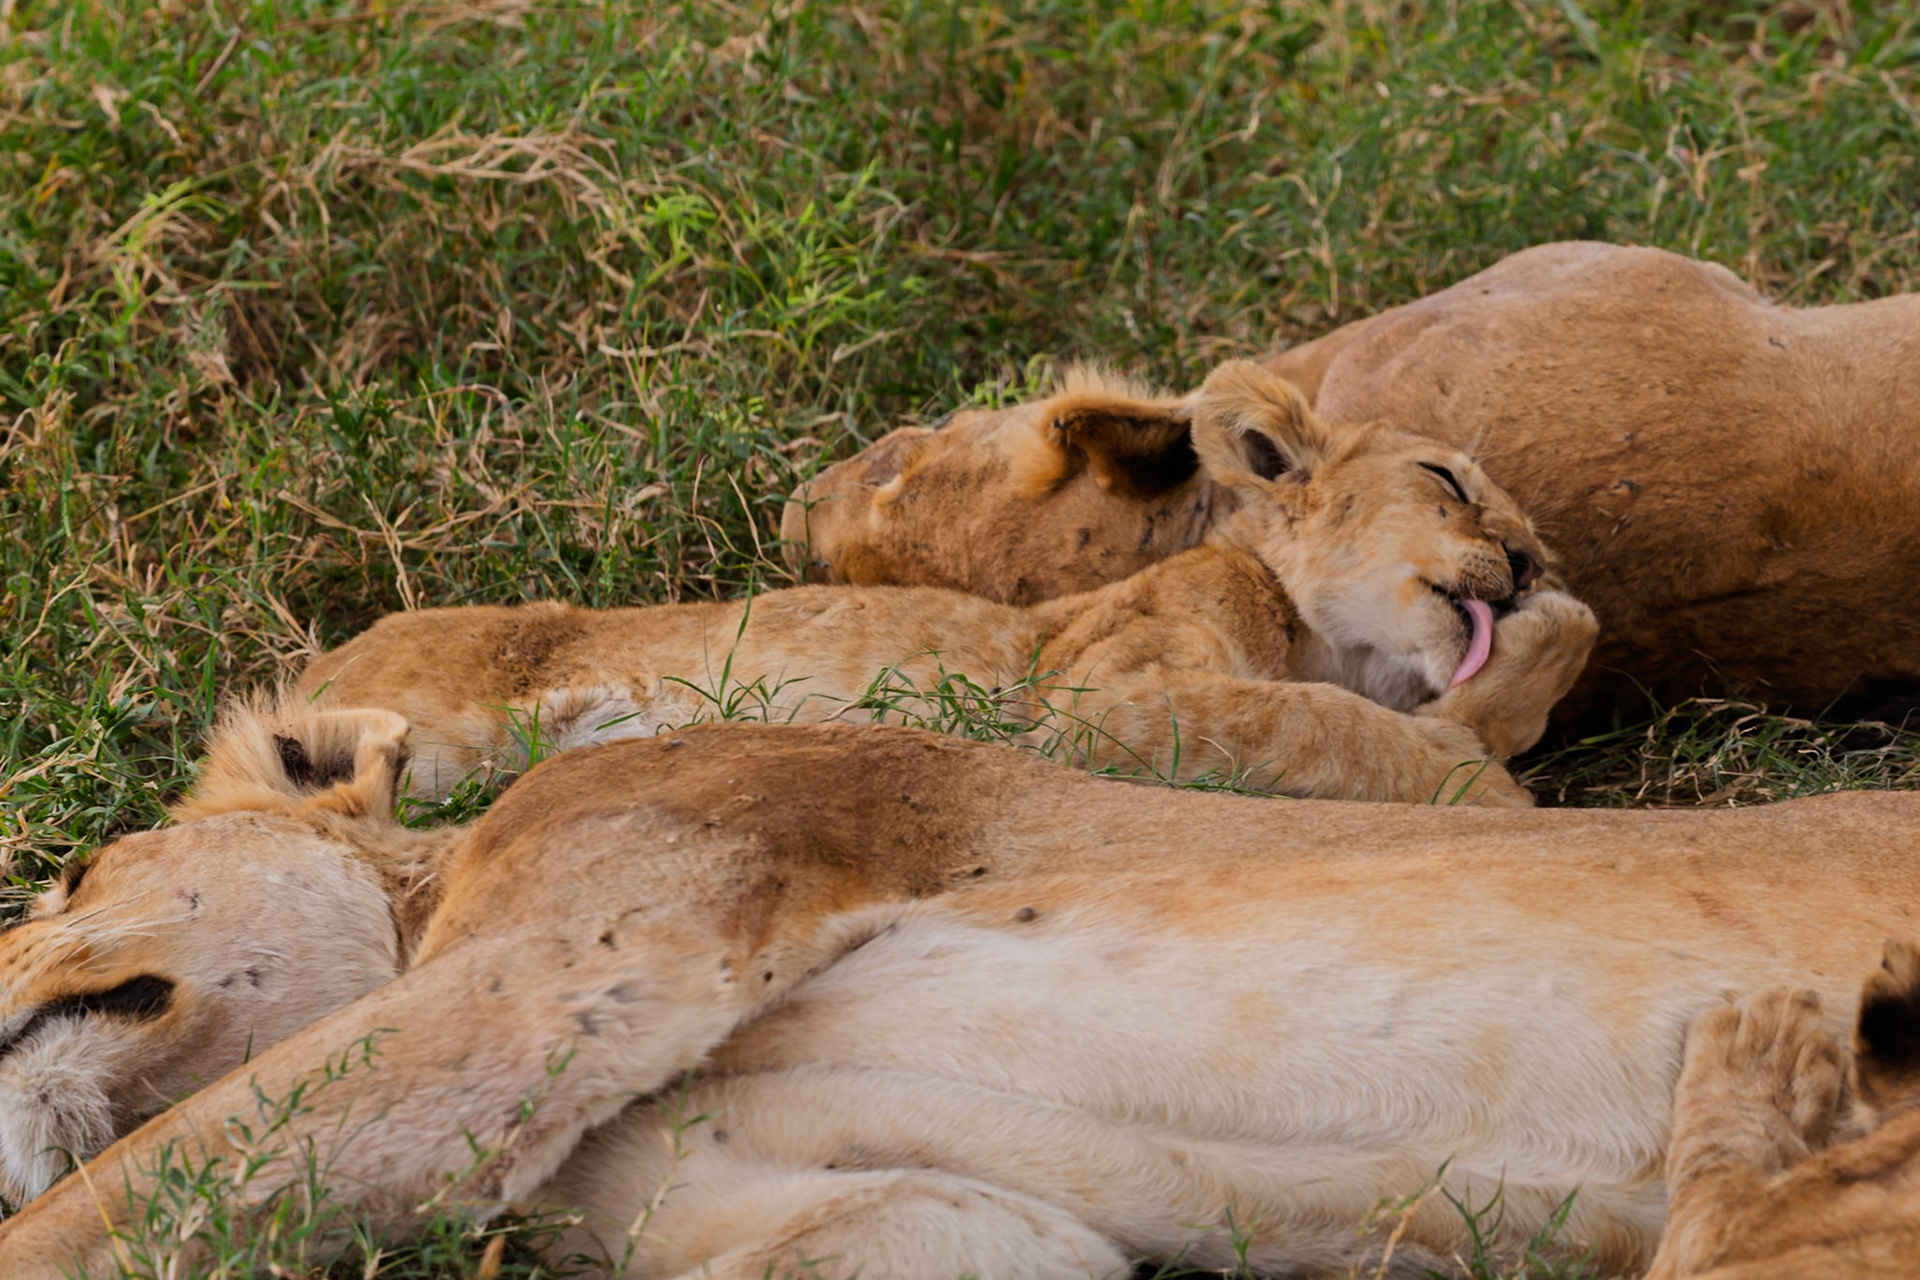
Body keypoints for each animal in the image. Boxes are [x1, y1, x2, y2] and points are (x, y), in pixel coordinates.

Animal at [283, 359, 1595, 810]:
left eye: (1542, 536)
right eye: (1447, 480)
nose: (1530, 562)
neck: (1334, 639)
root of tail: (321, 654)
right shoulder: (1096, 697)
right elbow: (1324, 724)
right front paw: (1485, 776)